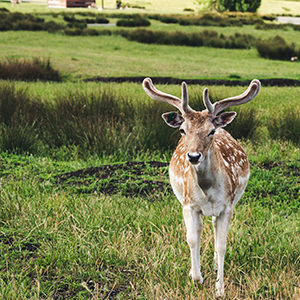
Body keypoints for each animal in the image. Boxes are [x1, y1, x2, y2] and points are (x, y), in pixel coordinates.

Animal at [141, 76, 260, 296]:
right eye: (182, 130)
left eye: (211, 131)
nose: (194, 156)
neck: (207, 189)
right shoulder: (188, 204)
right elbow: (192, 239)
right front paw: (196, 278)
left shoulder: (227, 206)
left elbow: (222, 245)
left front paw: (220, 288)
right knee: (201, 229)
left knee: (212, 226)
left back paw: (214, 264)